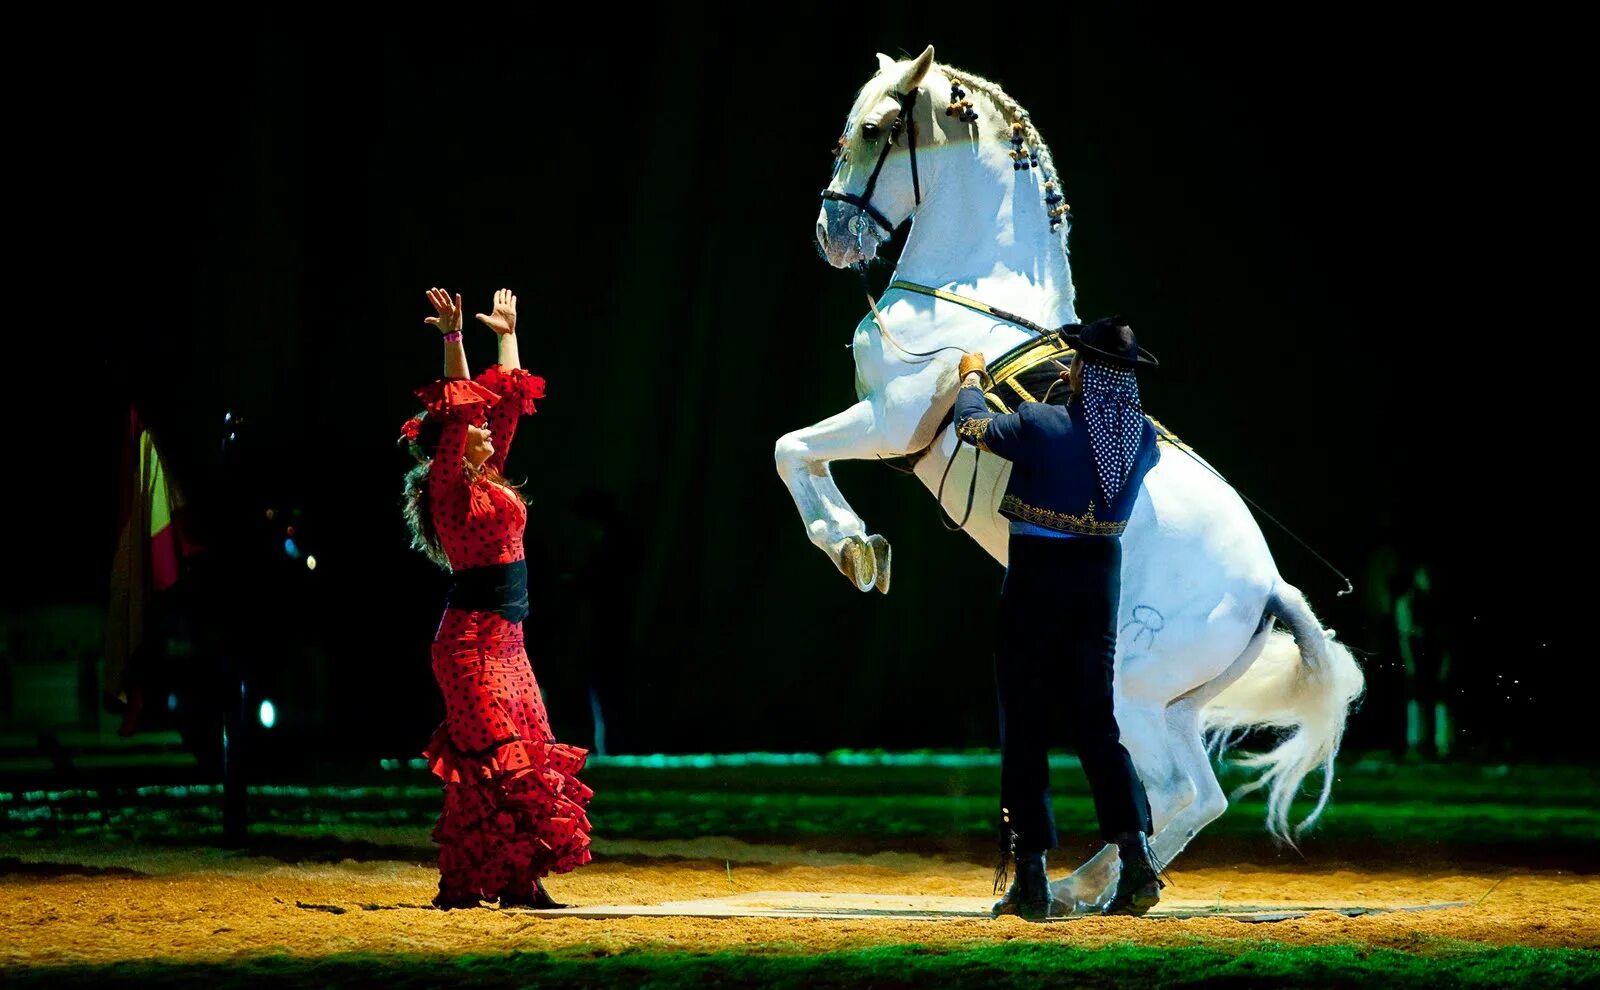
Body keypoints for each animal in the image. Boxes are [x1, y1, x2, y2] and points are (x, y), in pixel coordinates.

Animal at [774, 46, 1363, 914]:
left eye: (877, 128)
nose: (833, 236)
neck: (967, 299)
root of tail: (1269, 589)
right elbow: (797, 451)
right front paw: (860, 549)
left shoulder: (888, 422)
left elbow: (792, 449)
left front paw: (853, 547)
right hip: (1170, 707)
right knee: (1200, 796)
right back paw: (1095, 884)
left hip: (1130, 696)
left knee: (1171, 792)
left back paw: (1079, 885)